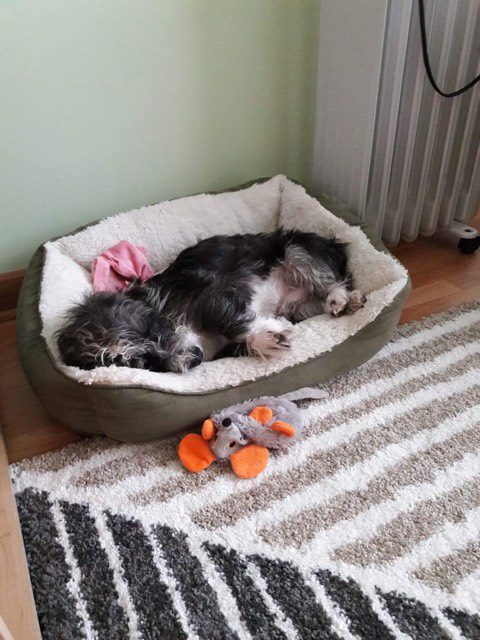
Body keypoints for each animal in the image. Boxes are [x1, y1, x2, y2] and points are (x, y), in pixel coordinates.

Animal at [56, 228, 366, 372]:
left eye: (152, 331)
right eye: (143, 363)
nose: (196, 358)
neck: (161, 309)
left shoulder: (215, 294)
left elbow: (228, 318)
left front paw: (269, 335)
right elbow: (241, 340)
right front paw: (267, 338)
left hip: (296, 251)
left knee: (333, 281)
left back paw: (342, 299)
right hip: (298, 307)